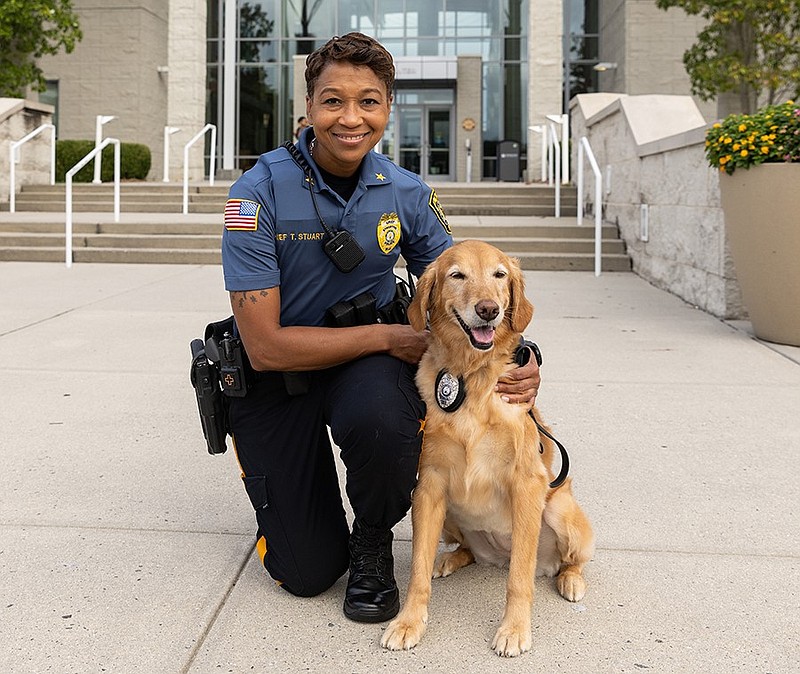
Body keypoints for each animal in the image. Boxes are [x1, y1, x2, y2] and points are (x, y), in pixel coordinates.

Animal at [382, 239, 592, 652]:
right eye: (457, 275)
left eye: (499, 275)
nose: (488, 310)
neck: (471, 374)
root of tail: (498, 555)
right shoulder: (429, 484)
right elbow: (417, 571)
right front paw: (409, 622)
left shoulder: (527, 484)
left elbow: (519, 579)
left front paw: (514, 629)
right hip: (448, 513)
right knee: (465, 551)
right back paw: (447, 559)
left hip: (560, 509)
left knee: (566, 560)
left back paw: (570, 579)